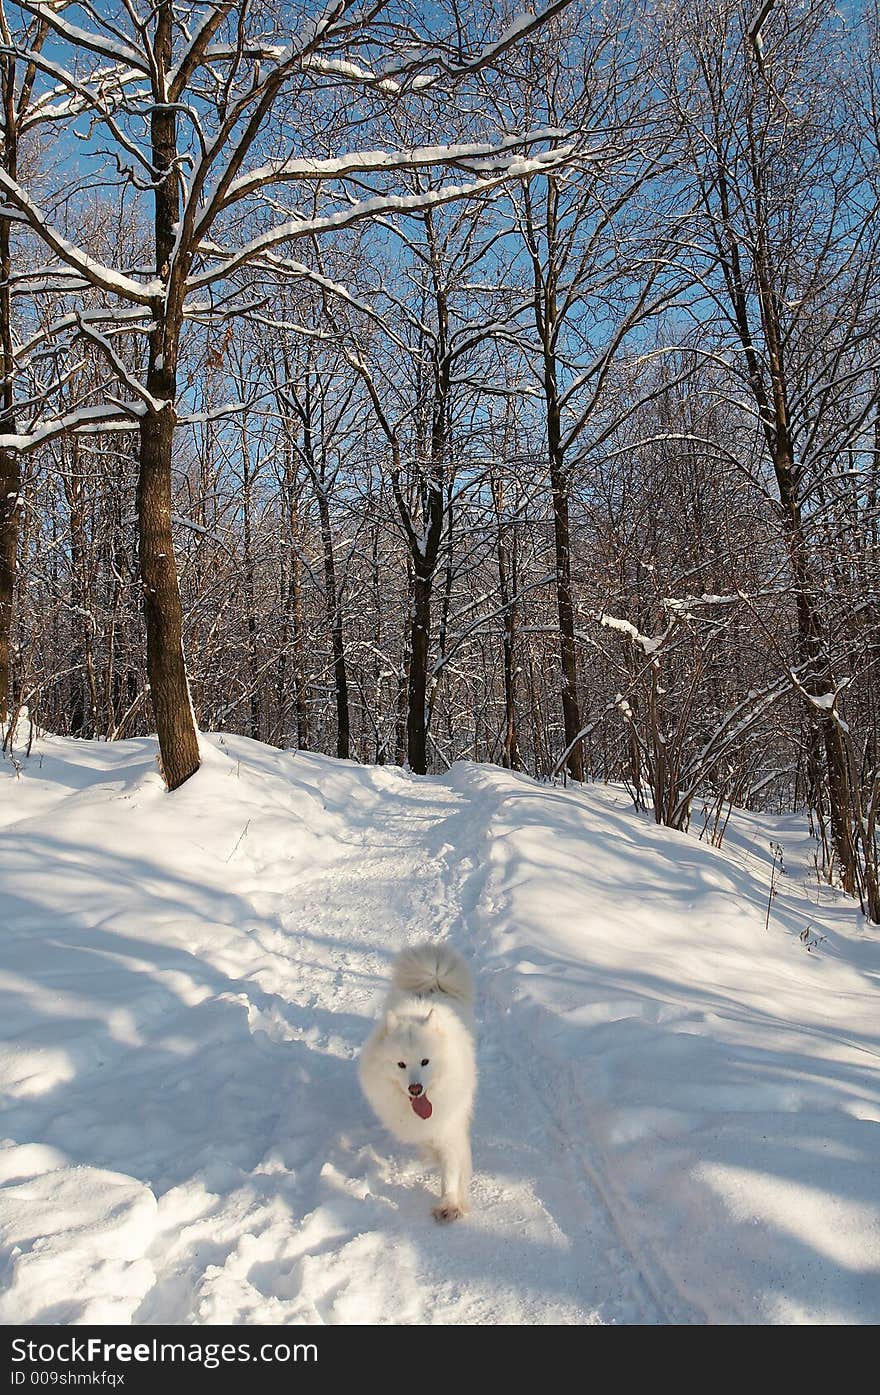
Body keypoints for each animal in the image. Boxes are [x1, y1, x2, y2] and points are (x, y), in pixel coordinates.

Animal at [359, 937, 479, 1222]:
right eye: (401, 1064)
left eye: (425, 1062)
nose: (415, 1089)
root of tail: (433, 983)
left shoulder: (451, 1123)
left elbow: (452, 1165)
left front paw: (450, 1204)